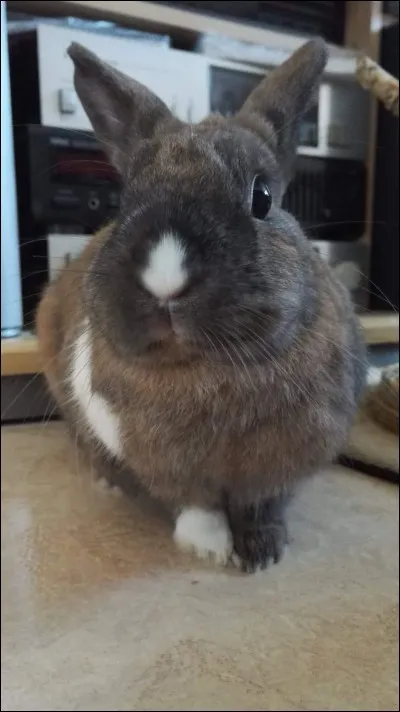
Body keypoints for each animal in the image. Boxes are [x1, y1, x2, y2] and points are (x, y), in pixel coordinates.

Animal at [36, 38, 367, 573]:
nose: (166, 281)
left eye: (263, 197)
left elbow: (261, 506)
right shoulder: (163, 464)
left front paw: (263, 554)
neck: (208, 372)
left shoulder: (279, 467)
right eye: (124, 201)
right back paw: (107, 482)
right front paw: (209, 550)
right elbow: (197, 504)